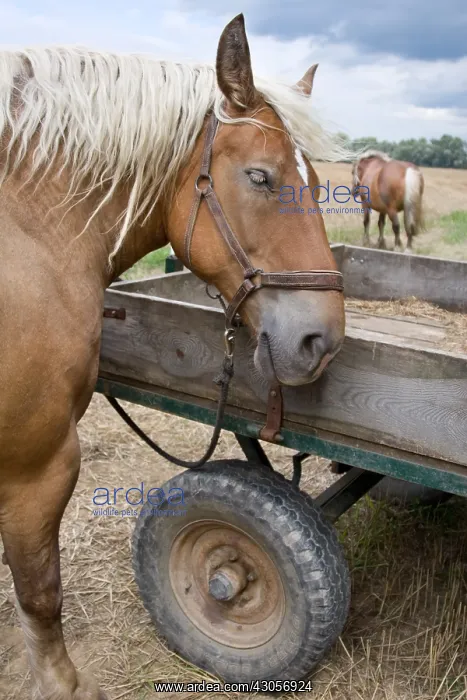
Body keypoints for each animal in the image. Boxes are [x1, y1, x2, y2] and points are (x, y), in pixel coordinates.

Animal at [0, 14, 349, 700]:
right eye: (261, 177)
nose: (322, 340)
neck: (26, 233)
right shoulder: (36, 466)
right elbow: (40, 593)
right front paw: (62, 684)